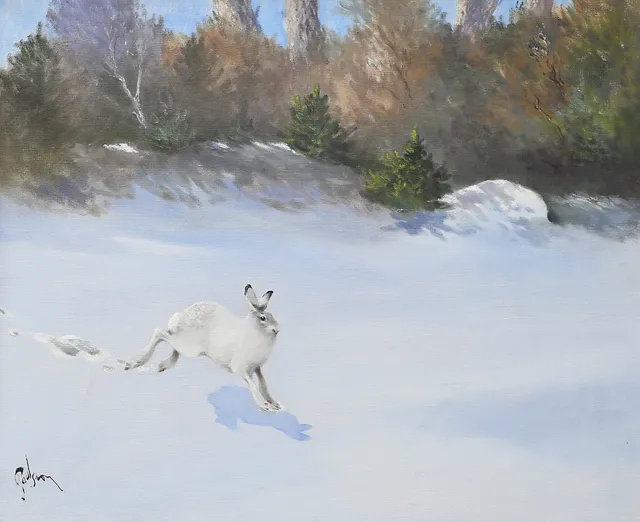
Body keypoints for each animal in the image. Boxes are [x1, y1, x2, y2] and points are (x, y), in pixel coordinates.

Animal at [124, 284, 283, 412]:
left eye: (272, 316)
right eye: (263, 318)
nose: (277, 330)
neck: (254, 331)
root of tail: (180, 317)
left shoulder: (257, 368)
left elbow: (263, 384)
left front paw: (275, 404)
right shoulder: (242, 368)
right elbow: (254, 386)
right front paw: (265, 406)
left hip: (185, 344)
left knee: (171, 343)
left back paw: (163, 365)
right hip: (190, 346)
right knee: (159, 333)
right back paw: (135, 362)